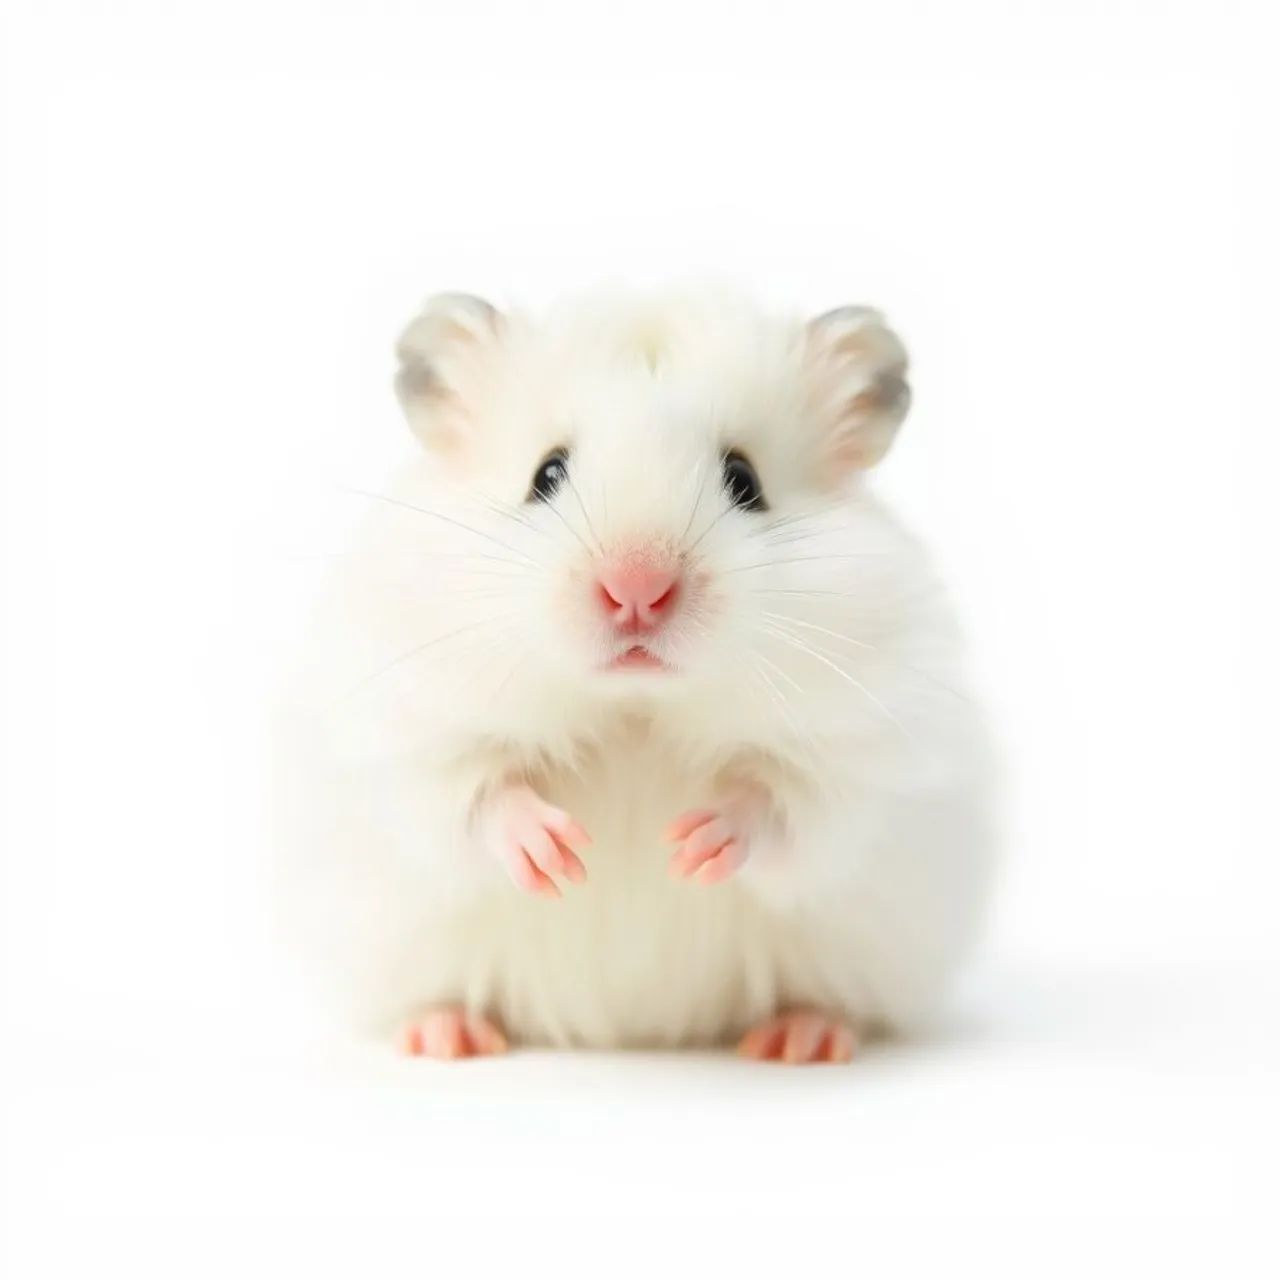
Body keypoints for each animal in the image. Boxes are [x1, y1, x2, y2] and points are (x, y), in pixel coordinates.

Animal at [274, 286, 995, 1063]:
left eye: (745, 480)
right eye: (546, 474)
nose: (637, 590)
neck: (636, 710)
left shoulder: (862, 753)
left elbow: (787, 808)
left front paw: (694, 843)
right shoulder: (409, 731)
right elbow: (473, 797)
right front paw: (559, 852)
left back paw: (799, 1039)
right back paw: (445, 1037)